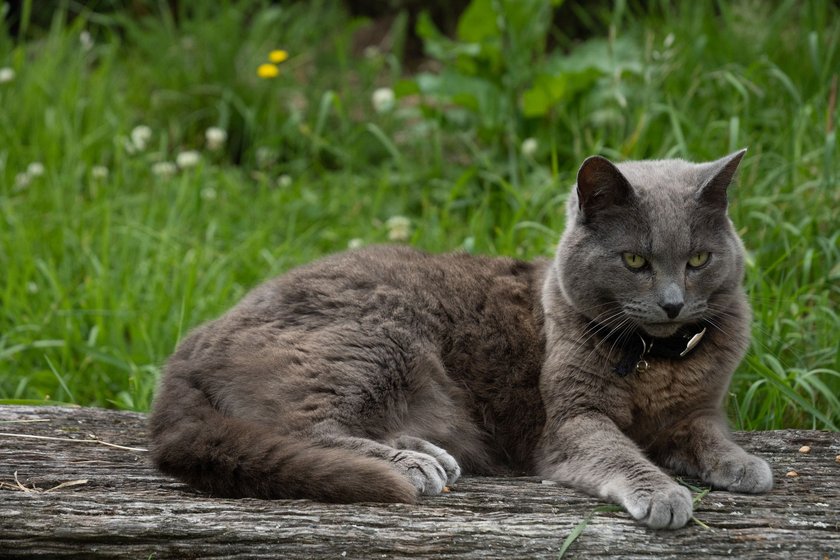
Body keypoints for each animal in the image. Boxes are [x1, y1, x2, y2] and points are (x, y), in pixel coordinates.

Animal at [149, 150, 776, 528]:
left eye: (699, 260)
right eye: (635, 261)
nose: (672, 303)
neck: (655, 358)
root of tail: (194, 340)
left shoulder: (698, 410)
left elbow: (707, 433)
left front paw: (744, 465)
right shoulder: (572, 421)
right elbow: (620, 452)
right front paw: (666, 493)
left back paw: (429, 453)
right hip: (377, 338)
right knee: (299, 428)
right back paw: (411, 465)